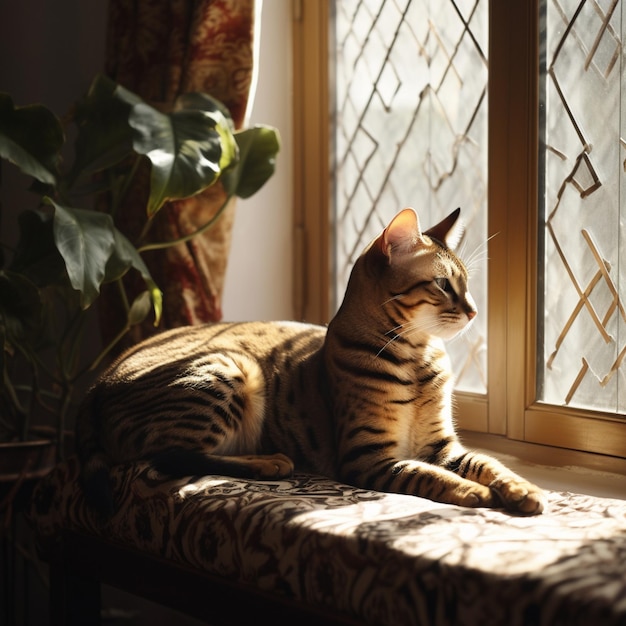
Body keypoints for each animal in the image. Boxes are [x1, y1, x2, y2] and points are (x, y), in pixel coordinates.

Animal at [77, 207, 544, 516]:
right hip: (229, 368)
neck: (417, 357)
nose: (474, 311)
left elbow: (489, 463)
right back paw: (269, 461)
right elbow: (427, 475)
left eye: (465, 285)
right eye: (444, 285)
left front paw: (522, 489)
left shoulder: (443, 445)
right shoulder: (368, 457)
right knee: (167, 458)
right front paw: (472, 493)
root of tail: (95, 385)